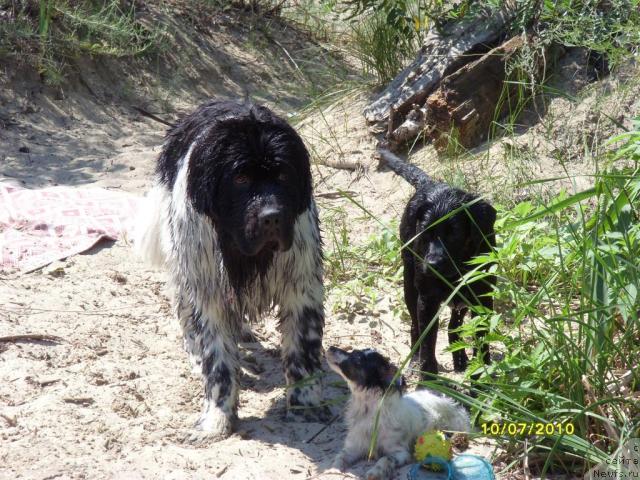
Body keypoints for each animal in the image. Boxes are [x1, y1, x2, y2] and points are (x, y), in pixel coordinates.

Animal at [134, 100, 324, 442]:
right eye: (240, 179)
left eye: (283, 175)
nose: (272, 216)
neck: (247, 254)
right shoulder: (206, 290)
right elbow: (217, 362)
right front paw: (217, 418)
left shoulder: (302, 287)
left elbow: (302, 351)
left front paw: (305, 404)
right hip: (184, 272)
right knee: (187, 322)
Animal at [324, 346, 470, 478]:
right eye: (353, 351)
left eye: (357, 359)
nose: (330, 347)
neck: (368, 410)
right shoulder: (353, 447)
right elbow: (339, 457)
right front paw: (332, 471)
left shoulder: (400, 452)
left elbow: (385, 458)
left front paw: (375, 472)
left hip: (456, 422)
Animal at [380, 149, 496, 376]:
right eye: (425, 232)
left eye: (455, 233)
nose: (432, 264)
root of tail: (429, 183)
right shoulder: (427, 299)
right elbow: (427, 341)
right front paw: (428, 375)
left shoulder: (482, 297)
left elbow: (481, 340)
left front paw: (480, 376)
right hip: (410, 285)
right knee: (415, 326)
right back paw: (415, 360)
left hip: (460, 300)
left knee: (453, 327)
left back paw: (460, 360)